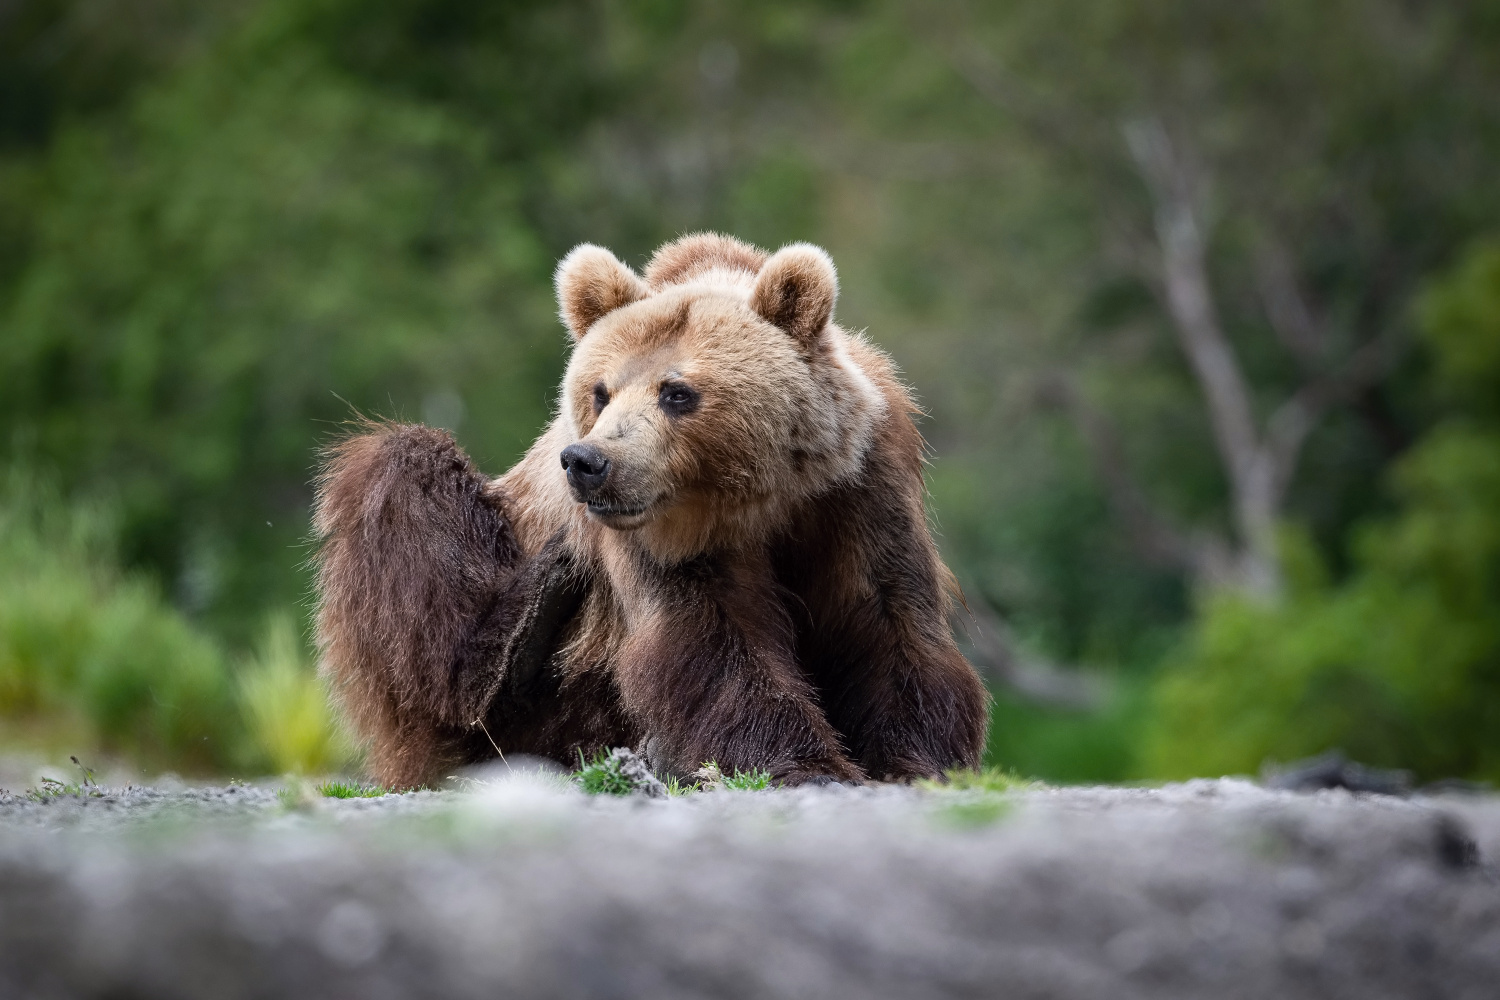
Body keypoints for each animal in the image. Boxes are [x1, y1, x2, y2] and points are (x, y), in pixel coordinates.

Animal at [315, 232, 990, 791]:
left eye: (677, 392)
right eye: (600, 390)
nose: (587, 461)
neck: (757, 495)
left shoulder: (859, 489)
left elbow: (887, 618)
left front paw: (914, 761)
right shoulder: (663, 538)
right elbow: (713, 640)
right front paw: (808, 764)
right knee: (404, 487)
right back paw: (522, 634)